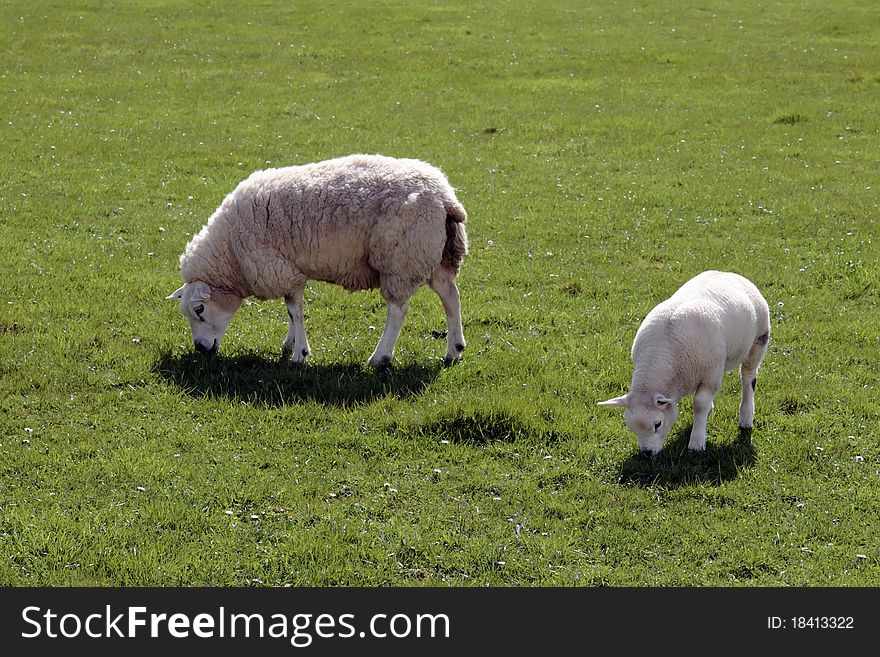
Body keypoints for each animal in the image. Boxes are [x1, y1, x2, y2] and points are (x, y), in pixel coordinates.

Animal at [165, 155, 468, 368]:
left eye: (200, 310)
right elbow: (292, 309)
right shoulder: (290, 269)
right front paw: (289, 344)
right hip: (434, 255)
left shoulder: (279, 268)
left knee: (398, 309)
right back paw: (454, 350)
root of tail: (445, 197)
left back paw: (380, 357)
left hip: (400, 257)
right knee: (451, 297)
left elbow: (294, 310)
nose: (200, 349)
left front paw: (300, 353)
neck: (231, 254)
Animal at [600, 270, 768, 454]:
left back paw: (746, 417)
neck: (662, 353)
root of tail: (727, 273)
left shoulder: (711, 375)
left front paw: (697, 443)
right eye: (631, 427)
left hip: (759, 338)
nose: (646, 453)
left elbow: (700, 404)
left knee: (748, 377)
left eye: (657, 424)